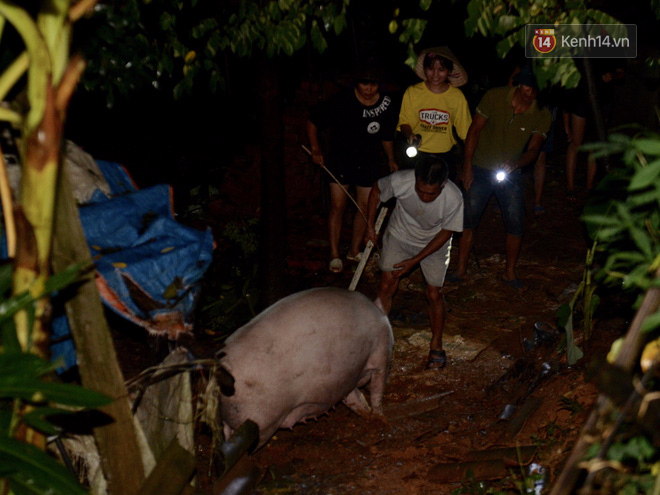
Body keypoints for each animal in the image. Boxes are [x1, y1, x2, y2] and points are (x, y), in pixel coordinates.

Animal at [217, 284, 392, 452]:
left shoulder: (345, 379)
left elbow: (354, 399)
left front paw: (369, 415)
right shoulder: (380, 354)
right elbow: (376, 391)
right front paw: (381, 419)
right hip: (261, 423)